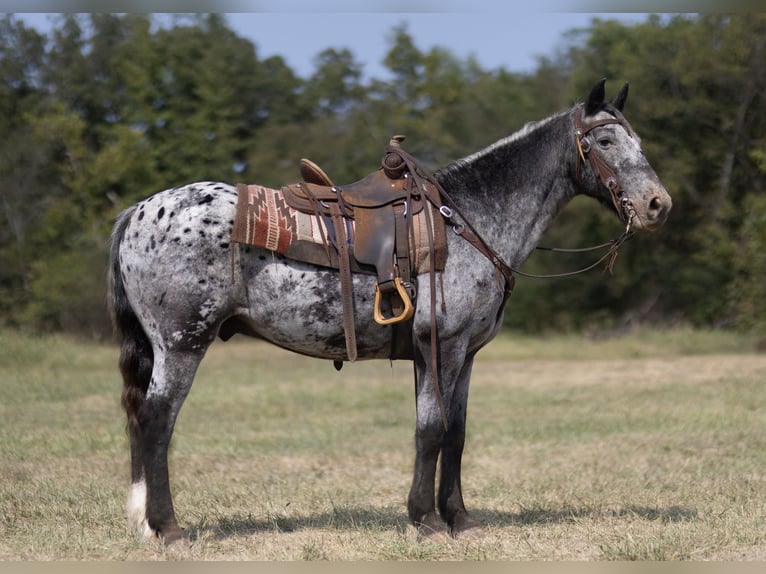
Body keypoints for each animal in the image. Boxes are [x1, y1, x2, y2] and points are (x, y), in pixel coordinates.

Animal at [108, 80, 672, 544]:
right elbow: (431, 431)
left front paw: (459, 518)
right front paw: (425, 519)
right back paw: (167, 527)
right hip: (181, 344)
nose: (657, 204)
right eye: (605, 142)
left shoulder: (462, 355)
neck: (467, 219)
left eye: (639, 141)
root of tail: (136, 213)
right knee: (157, 420)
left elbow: (455, 433)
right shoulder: (441, 348)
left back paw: (145, 521)